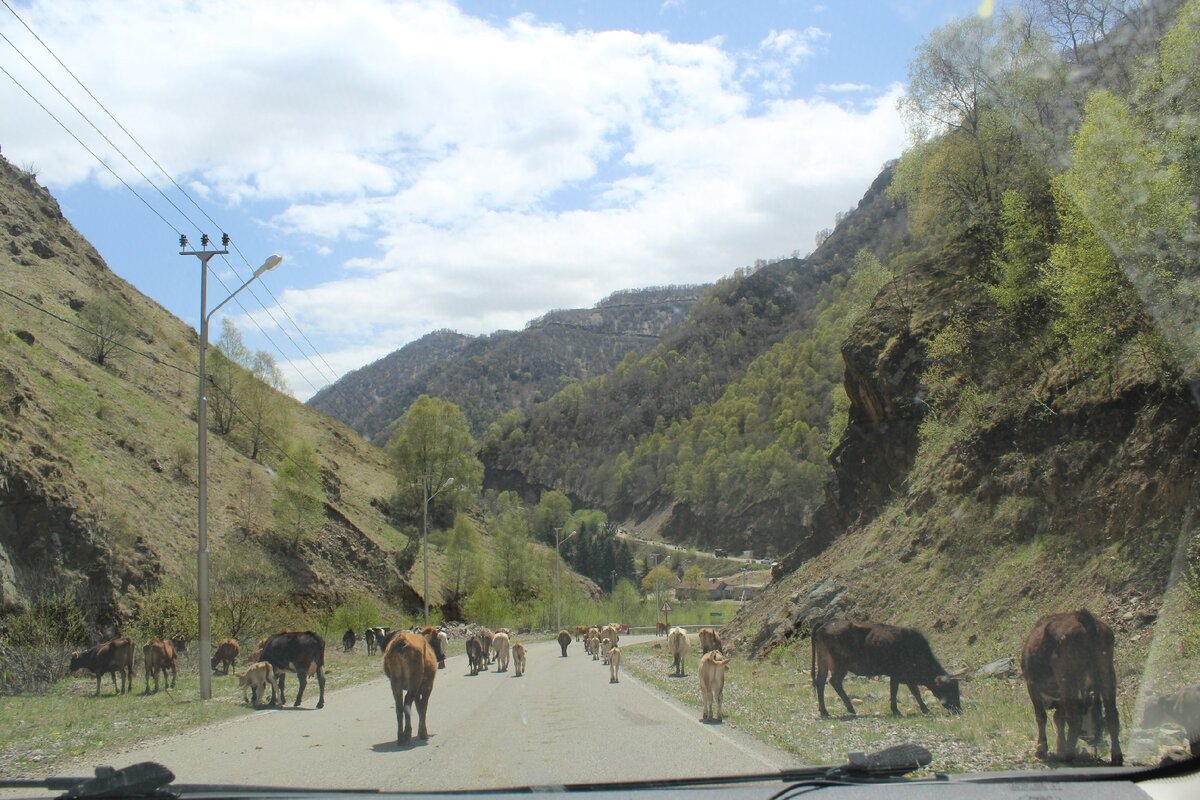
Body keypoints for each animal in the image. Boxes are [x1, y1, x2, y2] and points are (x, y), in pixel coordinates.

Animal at [811, 618, 960, 719]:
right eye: (949, 689)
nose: (958, 709)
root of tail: (826, 623)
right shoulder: (898, 674)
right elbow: (898, 691)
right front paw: (898, 710)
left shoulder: (905, 676)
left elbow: (912, 691)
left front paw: (923, 708)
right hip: (839, 665)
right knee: (834, 682)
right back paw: (850, 707)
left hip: (823, 662)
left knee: (821, 683)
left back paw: (824, 711)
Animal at [1022, 609, 1123, 767]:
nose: (1096, 742)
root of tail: (1085, 619)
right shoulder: (1062, 698)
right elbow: (1059, 719)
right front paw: (1059, 747)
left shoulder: (1033, 686)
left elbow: (1042, 717)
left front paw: (1042, 750)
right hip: (1107, 672)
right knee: (1112, 713)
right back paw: (1117, 756)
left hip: (1067, 679)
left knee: (1074, 719)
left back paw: (1068, 755)